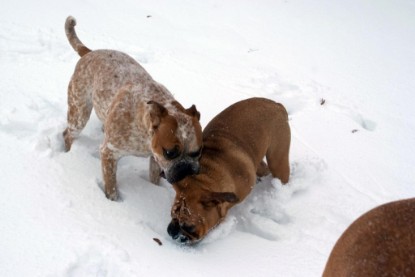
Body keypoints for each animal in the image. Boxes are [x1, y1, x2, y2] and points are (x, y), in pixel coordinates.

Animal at [63, 16, 203, 199]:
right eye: (170, 152)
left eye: (198, 152)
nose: (187, 170)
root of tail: (89, 52)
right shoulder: (109, 153)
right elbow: (111, 187)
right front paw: (112, 201)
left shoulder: (155, 158)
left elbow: (153, 179)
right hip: (79, 114)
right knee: (67, 134)